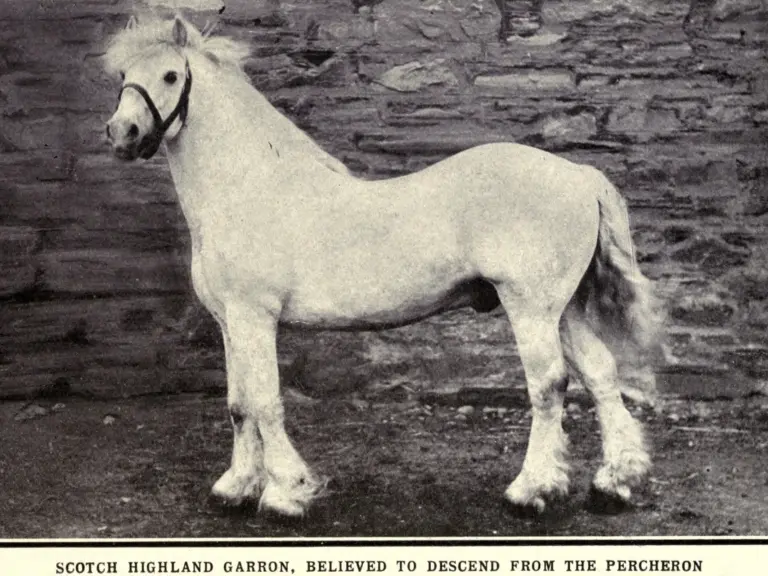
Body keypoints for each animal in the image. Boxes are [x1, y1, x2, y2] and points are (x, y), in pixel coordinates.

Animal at [104, 15, 661, 518]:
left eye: (170, 75)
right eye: (124, 74)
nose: (121, 133)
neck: (248, 186)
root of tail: (580, 174)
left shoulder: (253, 316)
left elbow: (264, 402)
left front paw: (286, 493)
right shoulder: (229, 322)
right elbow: (239, 403)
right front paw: (236, 487)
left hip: (531, 308)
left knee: (548, 385)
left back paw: (530, 491)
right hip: (563, 310)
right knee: (600, 373)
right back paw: (614, 484)